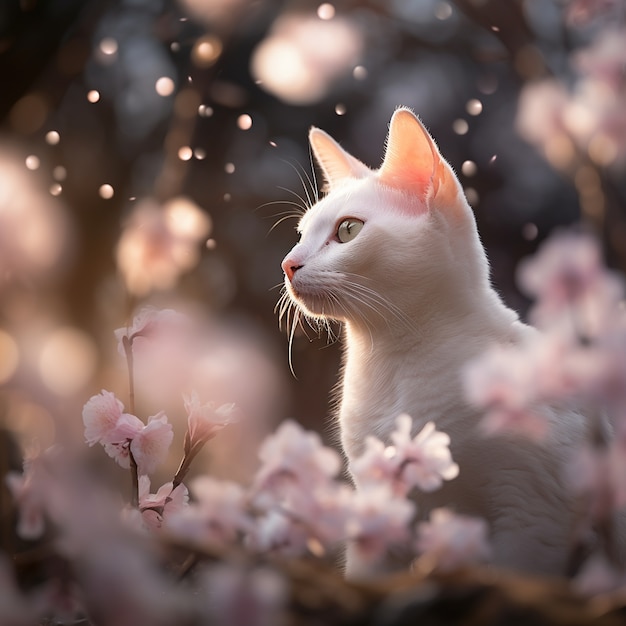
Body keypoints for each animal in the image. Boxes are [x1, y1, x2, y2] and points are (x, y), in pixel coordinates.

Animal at [280, 106, 592, 576]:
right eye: (300, 235)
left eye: (348, 230)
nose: (288, 263)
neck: (393, 366)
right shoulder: (379, 510)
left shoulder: (530, 511)